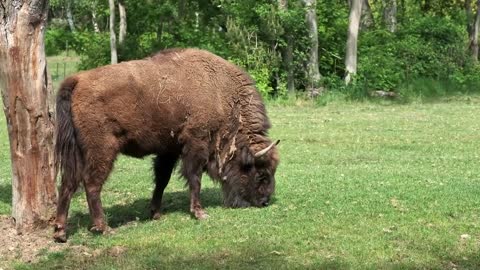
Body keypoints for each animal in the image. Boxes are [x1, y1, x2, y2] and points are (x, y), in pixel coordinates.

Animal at [55, 48, 282, 243]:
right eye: (261, 174)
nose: (264, 201)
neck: (221, 94)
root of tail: (77, 79)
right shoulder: (196, 144)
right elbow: (194, 178)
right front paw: (199, 213)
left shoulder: (169, 150)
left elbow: (162, 180)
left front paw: (155, 213)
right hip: (102, 150)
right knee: (91, 184)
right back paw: (104, 228)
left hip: (77, 152)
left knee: (68, 183)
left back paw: (60, 232)